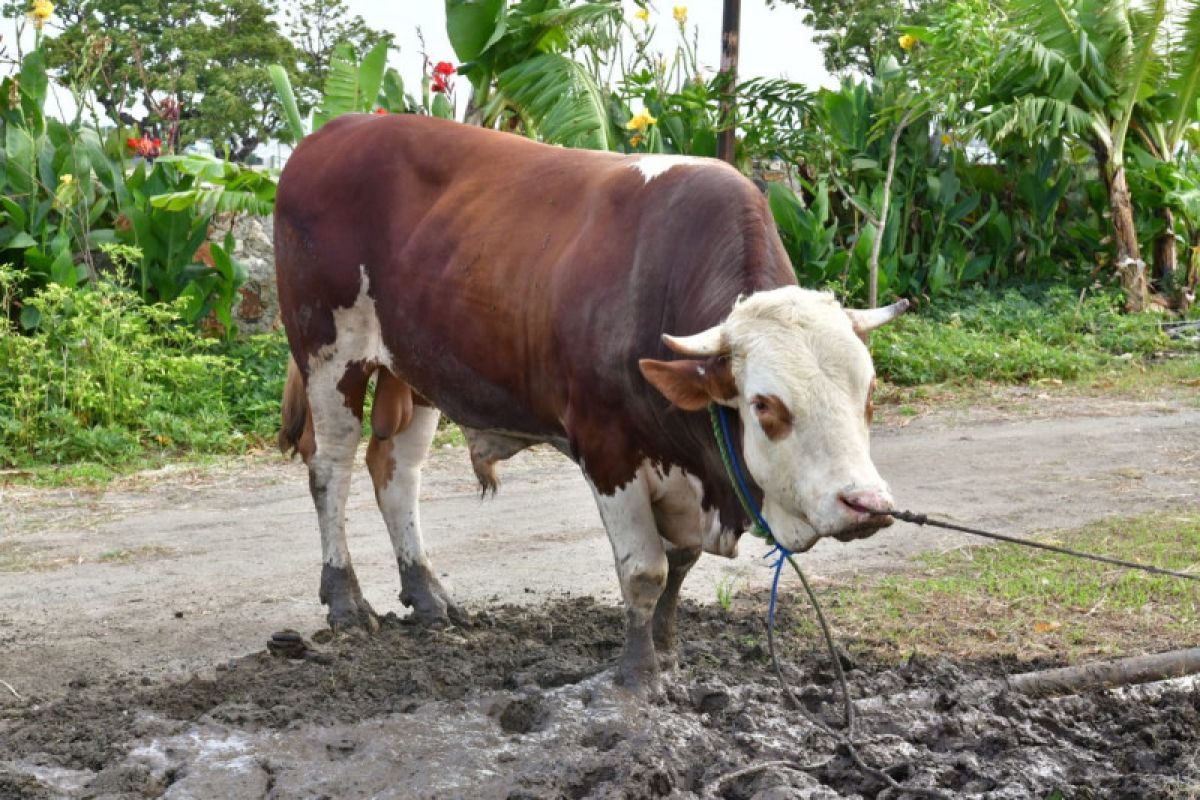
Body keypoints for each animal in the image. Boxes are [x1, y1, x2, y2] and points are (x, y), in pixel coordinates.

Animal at [274, 112, 907, 690]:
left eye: (869, 393)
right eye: (764, 406)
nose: (867, 503)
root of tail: (335, 130)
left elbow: (680, 564)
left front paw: (669, 651)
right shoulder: (608, 449)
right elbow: (645, 571)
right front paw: (637, 671)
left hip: (416, 366)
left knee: (397, 472)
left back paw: (428, 596)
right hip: (329, 352)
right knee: (331, 469)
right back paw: (346, 600)